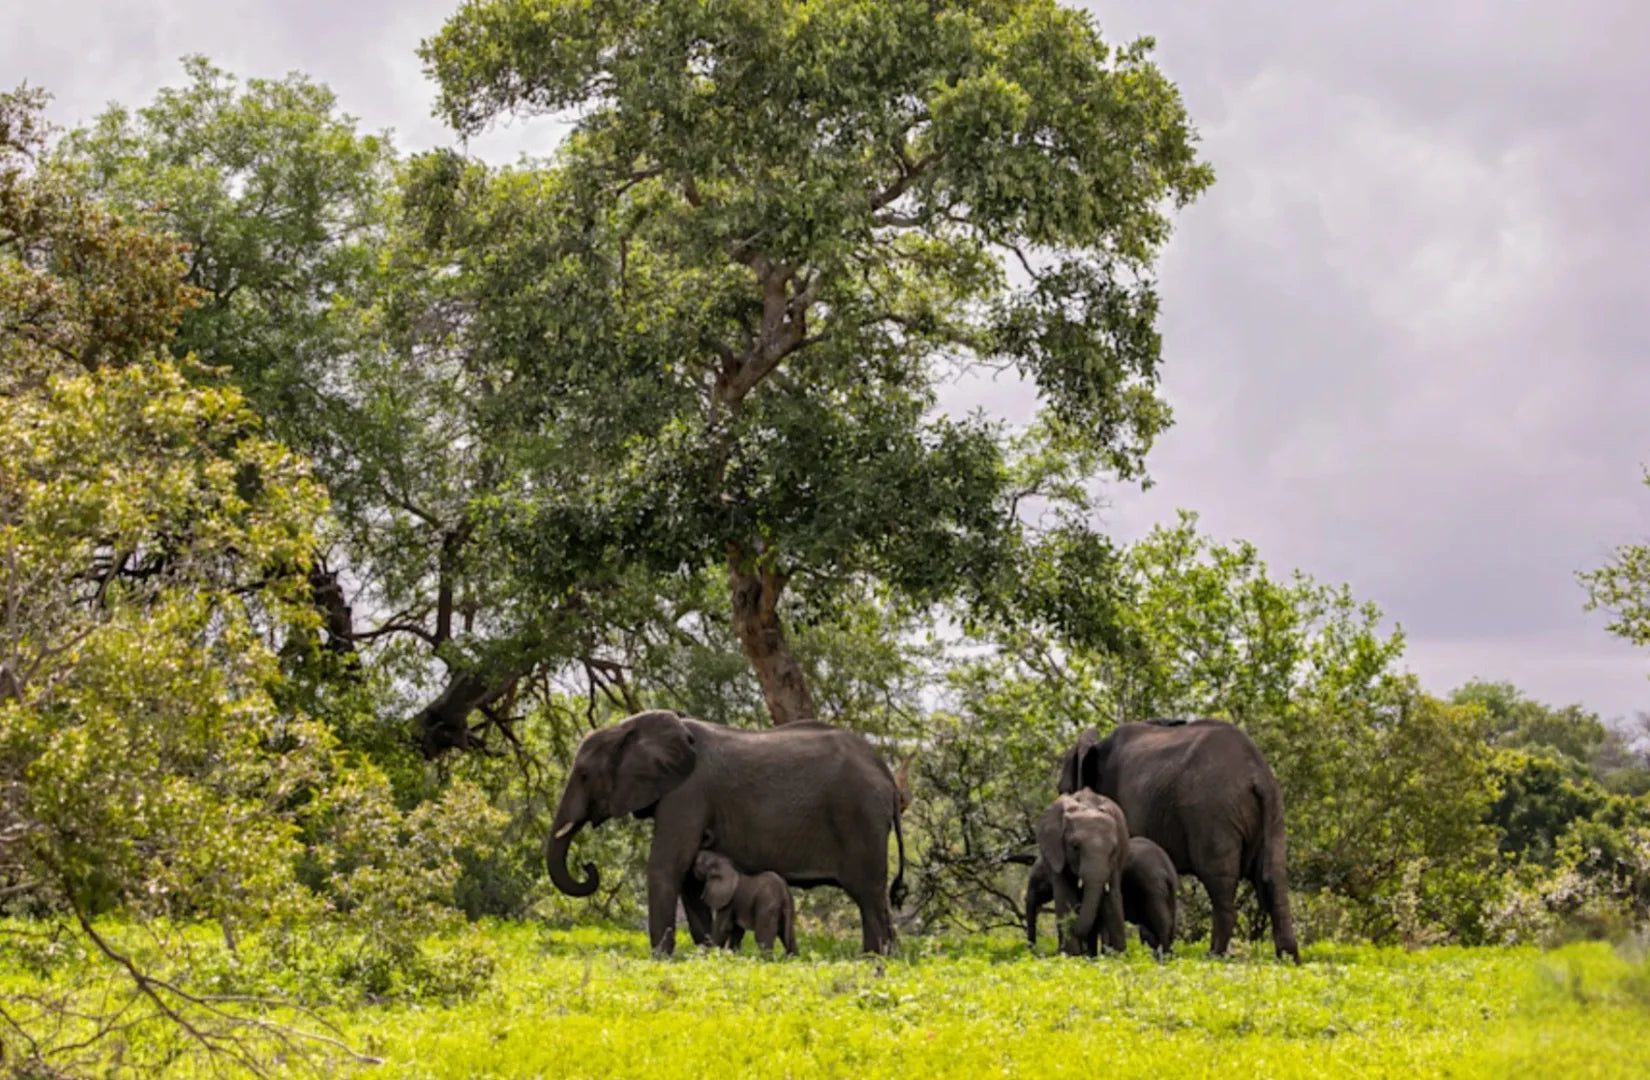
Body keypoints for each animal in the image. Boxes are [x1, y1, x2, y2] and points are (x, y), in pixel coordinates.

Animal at [545, 709, 906, 955]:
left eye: (584, 775)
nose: (588, 867)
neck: (629, 727)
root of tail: (889, 777)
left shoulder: (687, 793)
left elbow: (666, 866)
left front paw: (662, 958)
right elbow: (689, 879)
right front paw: (708, 952)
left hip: (861, 818)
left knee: (869, 895)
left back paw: (874, 959)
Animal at [1025, 835, 1179, 957]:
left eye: (1039, 883)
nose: (1034, 952)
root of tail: (1167, 870)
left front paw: (1094, 957)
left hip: (1151, 888)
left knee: (1159, 925)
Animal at [1036, 790, 1130, 956]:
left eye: (1113, 851)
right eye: (1075, 847)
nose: (1073, 924)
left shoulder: (1115, 861)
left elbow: (1112, 898)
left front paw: (1120, 957)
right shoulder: (1056, 852)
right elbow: (1064, 896)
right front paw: (1072, 956)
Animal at [1058, 719, 1299, 962]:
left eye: (1063, 790)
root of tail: (1257, 775)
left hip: (1213, 815)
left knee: (1219, 881)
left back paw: (1213, 956)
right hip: (1273, 812)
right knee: (1274, 879)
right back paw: (1288, 960)